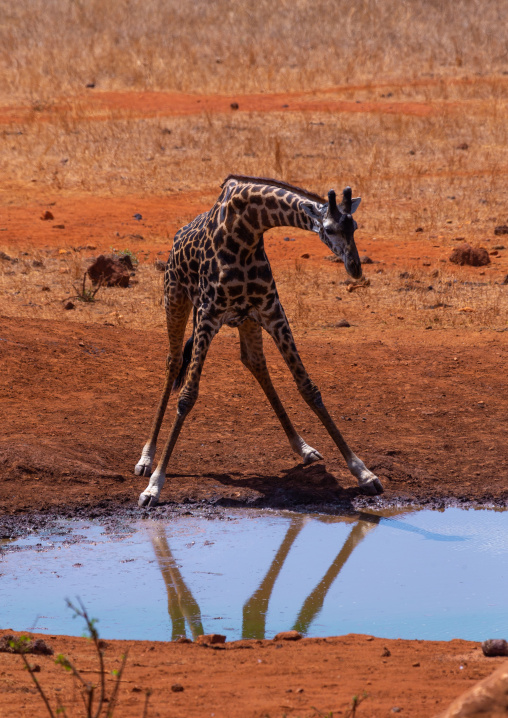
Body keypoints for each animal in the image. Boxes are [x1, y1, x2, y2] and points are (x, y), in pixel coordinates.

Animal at [136, 174, 383, 507]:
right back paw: (146, 458)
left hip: (246, 320)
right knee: (174, 362)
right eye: (329, 229)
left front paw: (363, 472)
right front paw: (154, 485)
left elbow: (308, 387)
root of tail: (177, 236)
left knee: (254, 362)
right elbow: (187, 396)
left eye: (354, 226)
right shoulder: (208, 315)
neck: (247, 230)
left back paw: (303, 446)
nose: (355, 268)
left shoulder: (272, 311)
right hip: (175, 298)